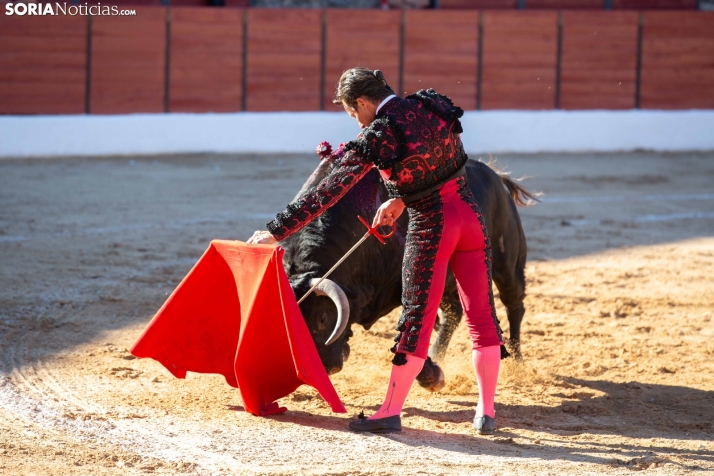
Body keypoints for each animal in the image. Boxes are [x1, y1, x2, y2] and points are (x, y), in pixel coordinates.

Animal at [278, 159, 536, 390]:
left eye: (322, 318)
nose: (324, 367)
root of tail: (495, 175)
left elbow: (411, 327)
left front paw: (431, 377)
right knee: (454, 313)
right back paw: (437, 354)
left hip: (507, 264)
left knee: (514, 305)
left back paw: (516, 361)